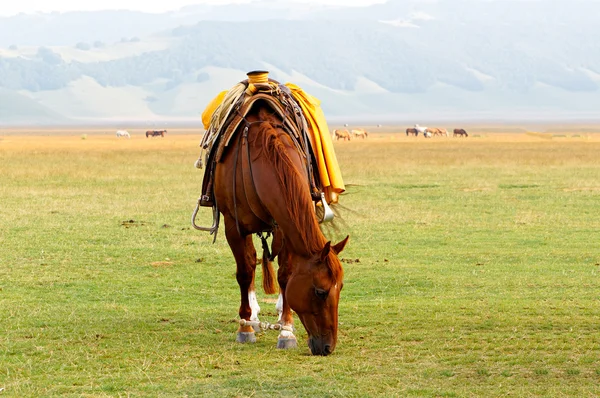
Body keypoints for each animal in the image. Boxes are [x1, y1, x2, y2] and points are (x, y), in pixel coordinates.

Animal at [214, 103, 346, 358]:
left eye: (341, 288)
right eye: (320, 291)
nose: (328, 347)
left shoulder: (283, 229)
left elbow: (285, 275)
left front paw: (286, 329)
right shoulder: (233, 225)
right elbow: (244, 272)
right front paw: (245, 327)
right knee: (250, 261)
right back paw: (253, 316)